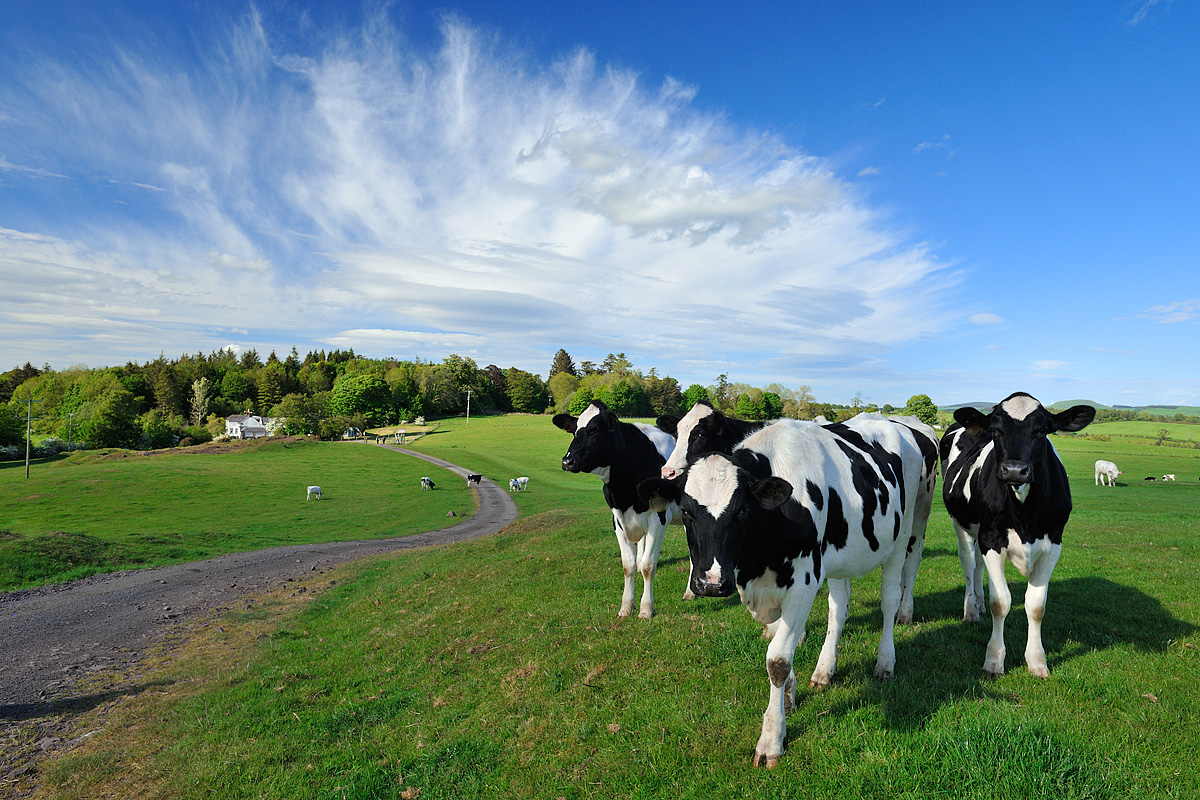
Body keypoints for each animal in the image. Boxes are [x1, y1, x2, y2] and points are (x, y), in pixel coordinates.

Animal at [554, 400, 686, 618]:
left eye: (595, 430)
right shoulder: (618, 519)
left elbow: (648, 566)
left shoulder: (659, 517)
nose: (567, 462)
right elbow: (628, 566)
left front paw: (646, 609)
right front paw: (626, 607)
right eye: (574, 431)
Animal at [643, 419, 921, 767]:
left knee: (889, 601)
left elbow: (777, 659)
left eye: (742, 511)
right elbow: (783, 643)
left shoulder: (803, 582)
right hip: (840, 556)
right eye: (685, 511)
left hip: (902, 536)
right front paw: (789, 699)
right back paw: (825, 669)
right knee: (838, 607)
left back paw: (885, 662)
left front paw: (772, 739)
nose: (711, 583)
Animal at [936, 391, 1099, 681]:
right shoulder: (991, 539)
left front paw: (1037, 661)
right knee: (968, 562)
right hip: (961, 522)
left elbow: (1035, 606)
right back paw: (971, 609)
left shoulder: (1053, 543)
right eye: (995, 430)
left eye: (1042, 430)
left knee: (978, 567)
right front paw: (993, 661)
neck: (1025, 516)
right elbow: (1000, 602)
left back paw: (977, 605)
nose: (1014, 470)